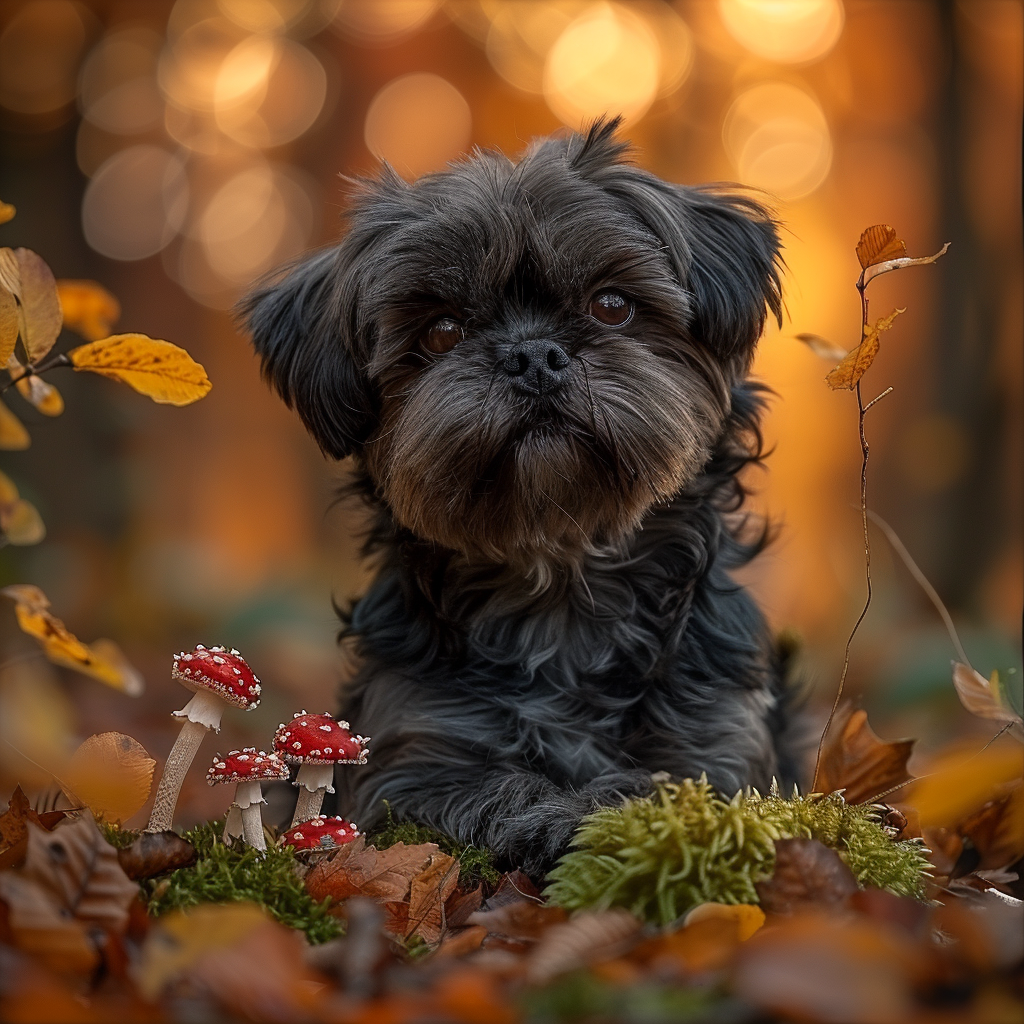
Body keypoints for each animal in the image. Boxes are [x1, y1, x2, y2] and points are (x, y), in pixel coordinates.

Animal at [241, 117, 798, 872]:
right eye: (441, 329)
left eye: (612, 304)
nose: (534, 355)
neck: (560, 585)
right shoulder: (415, 750)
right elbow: (479, 786)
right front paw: (552, 813)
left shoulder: (716, 743)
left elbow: (672, 783)